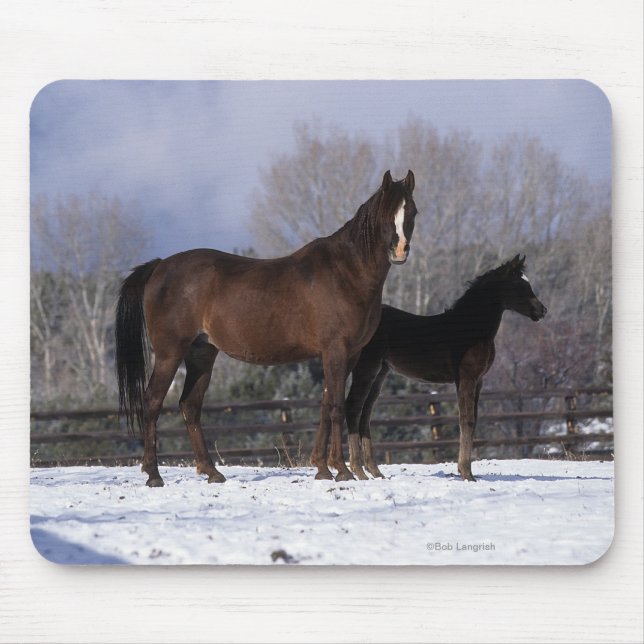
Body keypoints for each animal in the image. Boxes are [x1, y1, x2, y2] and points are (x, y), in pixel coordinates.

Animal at [115, 170, 418, 486]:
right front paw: (342, 470)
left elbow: (325, 406)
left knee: (190, 406)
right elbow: (336, 406)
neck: (345, 272)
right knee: (152, 403)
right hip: (169, 353)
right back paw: (153, 474)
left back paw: (212, 472)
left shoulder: (350, 354)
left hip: (201, 353)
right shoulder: (336, 350)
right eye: (386, 213)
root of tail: (160, 266)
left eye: (411, 211)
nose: (400, 251)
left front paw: (322, 469)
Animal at [345, 254, 547, 482]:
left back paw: (375, 471)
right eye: (520, 285)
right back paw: (358, 471)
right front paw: (466, 473)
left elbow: (473, 420)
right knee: (353, 407)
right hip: (366, 368)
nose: (542, 310)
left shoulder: (478, 381)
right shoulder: (466, 378)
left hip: (380, 372)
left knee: (366, 413)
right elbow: (466, 421)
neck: (471, 329)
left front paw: (466, 471)